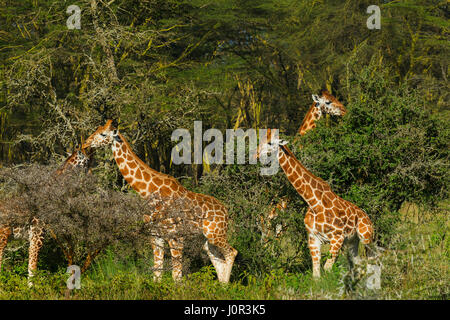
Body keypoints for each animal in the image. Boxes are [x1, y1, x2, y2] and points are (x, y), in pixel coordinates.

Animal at [0, 148, 91, 280]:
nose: (90, 173)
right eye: (87, 160)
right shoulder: (37, 236)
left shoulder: (33, 237)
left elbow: (31, 268)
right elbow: (32, 269)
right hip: (3, 237)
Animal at [82, 120, 239, 282]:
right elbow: (157, 273)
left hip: (216, 233)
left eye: (103, 134)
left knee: (231, 252)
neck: (147, 192)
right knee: (217, 259)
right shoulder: (155, 234)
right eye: (97, 130)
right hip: (207, 239)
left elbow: (176, 277)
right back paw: (221, 285)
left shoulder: (175, 236)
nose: (86, 143)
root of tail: (226, 211)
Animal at [255, 129, 374, 278]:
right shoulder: (313, 238)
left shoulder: (337, 238)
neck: (313, 202)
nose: (256, 154)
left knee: (371, 259)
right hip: (352, 242)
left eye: (270, 142)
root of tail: (368, 217)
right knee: (357, 263)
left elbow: (327, 268)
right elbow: (316, 273)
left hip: (366, 237)